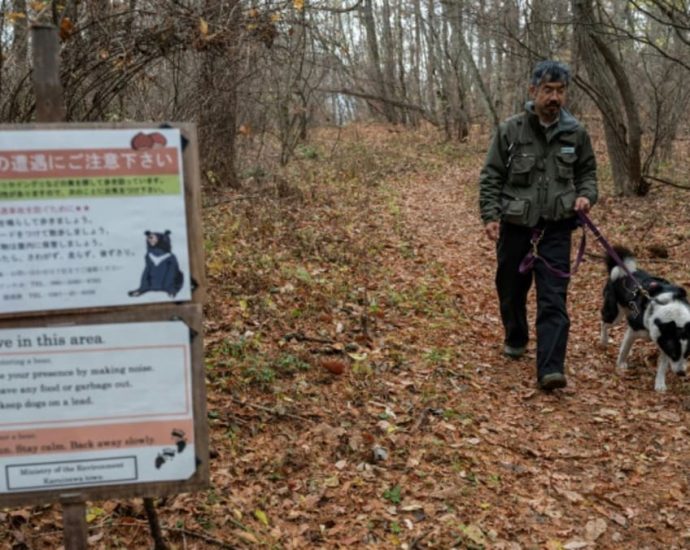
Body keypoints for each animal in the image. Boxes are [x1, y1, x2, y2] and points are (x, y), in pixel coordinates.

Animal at [600, 246, 684, 392]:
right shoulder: (633, 330)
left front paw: (660, 384)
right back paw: (604, 340)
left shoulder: (664, 341)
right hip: (615, 315)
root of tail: (622, 270)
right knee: (604, 323)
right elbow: (625, 349)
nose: (681, 373)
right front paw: (620, 365)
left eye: (687, 354)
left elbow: (662, 365)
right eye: (675, 353)